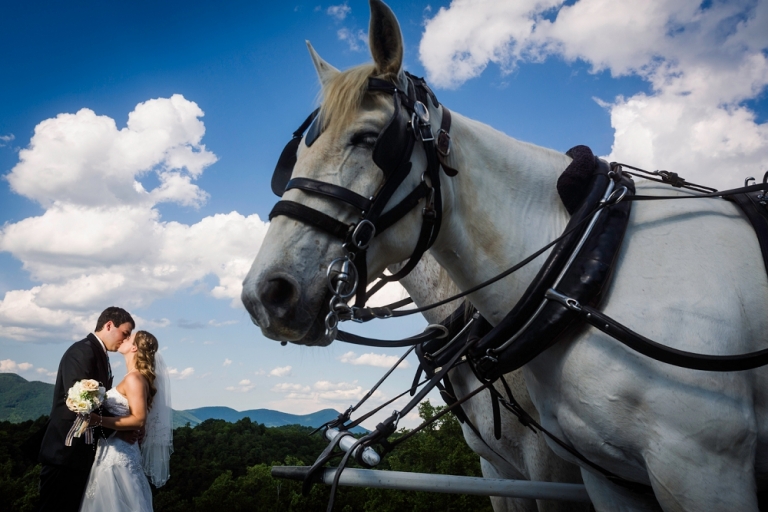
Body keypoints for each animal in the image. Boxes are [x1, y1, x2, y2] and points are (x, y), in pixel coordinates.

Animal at [242, 2, 768, 510]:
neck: (576, 270)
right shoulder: (551, 473)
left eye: (371, 139)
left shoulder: (680, 470)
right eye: (294, 156)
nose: (266, 294)